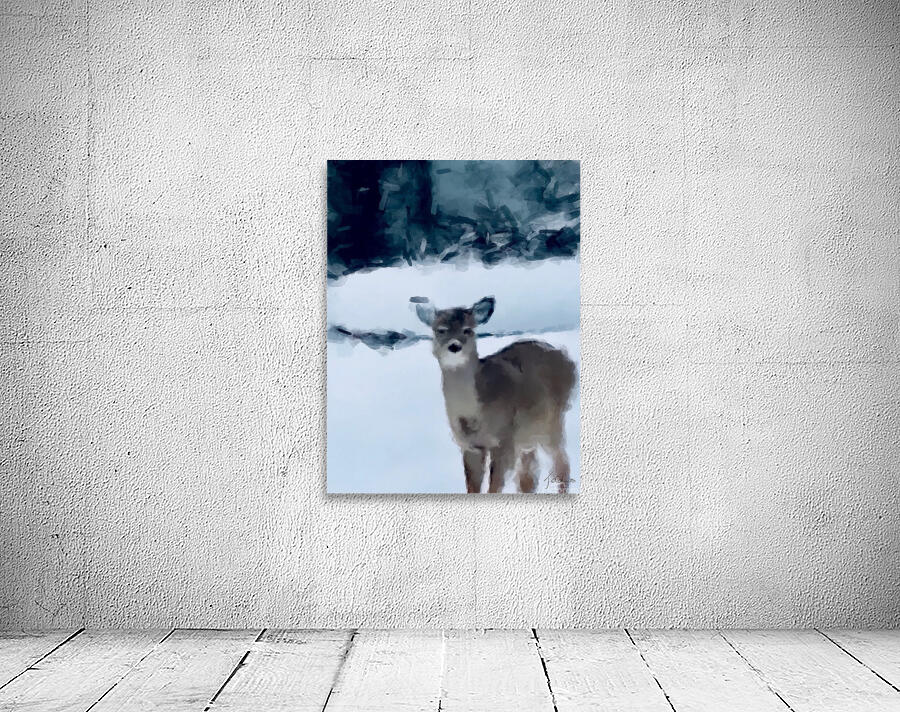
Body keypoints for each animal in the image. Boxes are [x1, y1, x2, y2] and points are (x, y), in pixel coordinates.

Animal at [413, 295, 576, 494]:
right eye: (440, 330)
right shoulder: (469, 445)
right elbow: (473, 488)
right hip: (528, 434)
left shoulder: (504, 439)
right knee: (528, 478)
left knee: (562, 464)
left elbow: (494, 487)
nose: (454, 346)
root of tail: (568, 360)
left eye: (468, 330)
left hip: (551, 422)